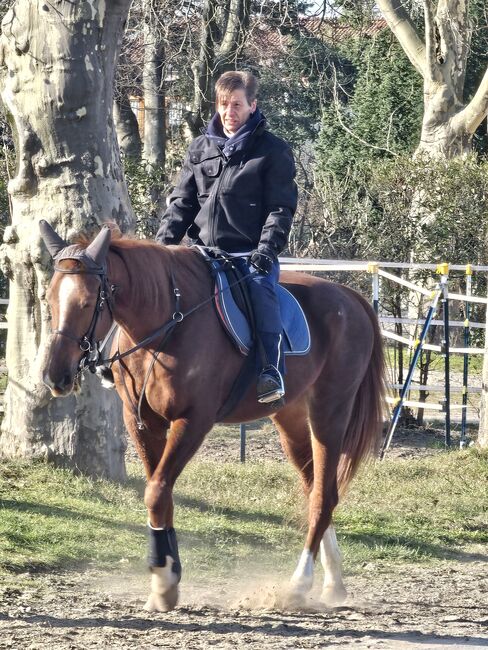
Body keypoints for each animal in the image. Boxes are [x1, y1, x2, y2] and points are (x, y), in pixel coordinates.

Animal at [41, 220, 386, 612]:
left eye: (87, 303)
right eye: (49, 299)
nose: (55, 375)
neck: (167, 326)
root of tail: (350, 298)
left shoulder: (193, 421)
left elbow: (156, 492)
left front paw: (163, 579)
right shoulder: (142, 423)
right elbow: (160, 493)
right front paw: (167, 578)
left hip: (329, 413)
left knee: (324, 496)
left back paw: (299, 585)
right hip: (292, 422)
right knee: (316, 488)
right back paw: (332, 582)